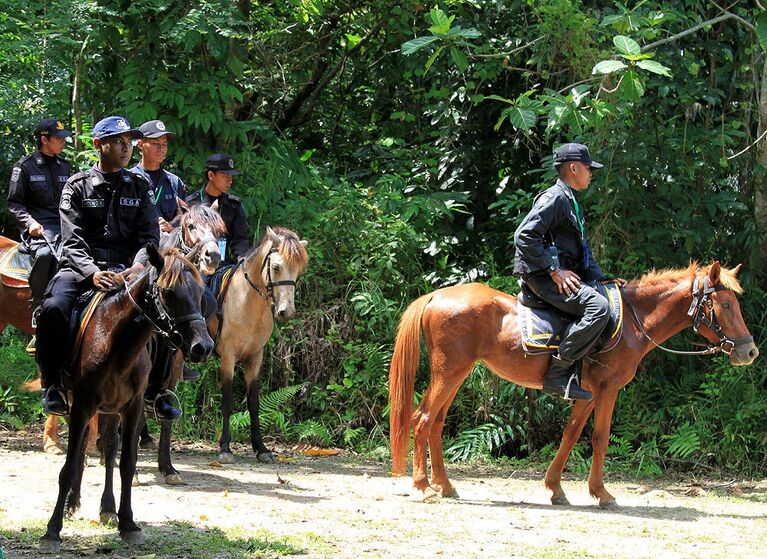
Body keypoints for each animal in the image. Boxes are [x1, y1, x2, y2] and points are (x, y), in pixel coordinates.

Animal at [39, 247, 213, 552]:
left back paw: (108, 508)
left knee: (109, 449)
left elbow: (127, 464)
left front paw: (128, 523)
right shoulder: (83, 404)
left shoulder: (132, 407)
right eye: (168, 292)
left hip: (111, 409)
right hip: (79, 403)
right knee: (83, 450)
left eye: (200, 291)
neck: (117, 342)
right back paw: (73, 503)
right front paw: (53, 529)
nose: (203, 347)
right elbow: (70, 465)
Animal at [392, 262, 760, 508]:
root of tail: (436, 295)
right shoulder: (608, 389)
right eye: (725, 305)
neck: (633, 323)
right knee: (423, 419)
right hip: (449, 372)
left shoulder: (587, 392)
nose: (750, 351)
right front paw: (602, 493)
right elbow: (599, 437)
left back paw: (444, 485)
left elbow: (570, 434)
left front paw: (556, 488)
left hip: (457, 373)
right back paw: (423, 486)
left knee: (436, 422)